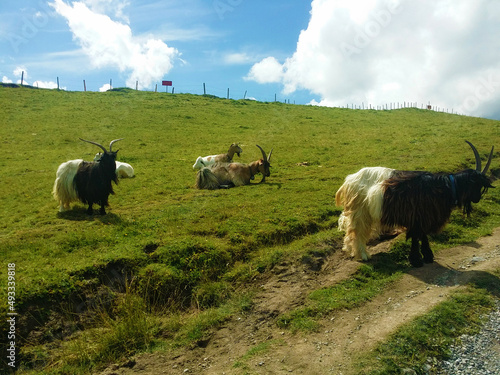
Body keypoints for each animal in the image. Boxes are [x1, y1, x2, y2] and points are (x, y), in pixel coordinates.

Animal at [334, 141, 494, 268]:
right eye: (476, 184)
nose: (477, 199)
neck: (446, 187)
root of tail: (350, 180)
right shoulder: (418, 218)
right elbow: (416, 237)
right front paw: (417, 260)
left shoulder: (422, 218)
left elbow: (423, 236)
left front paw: (427, 256)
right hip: (361, 211)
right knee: (357, 231)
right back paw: (363, 255)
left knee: (351, 231)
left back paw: (351, 251)